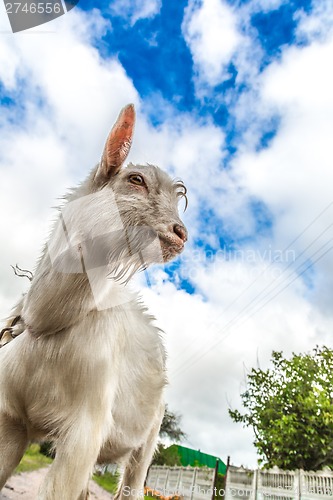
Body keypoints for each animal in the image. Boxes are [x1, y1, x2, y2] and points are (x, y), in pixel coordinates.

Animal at [0, 103, 187, 498]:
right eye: (135, 179)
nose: (181, 233)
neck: (46, 326)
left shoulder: (84, 429)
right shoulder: (10, 420)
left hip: (146, 441)